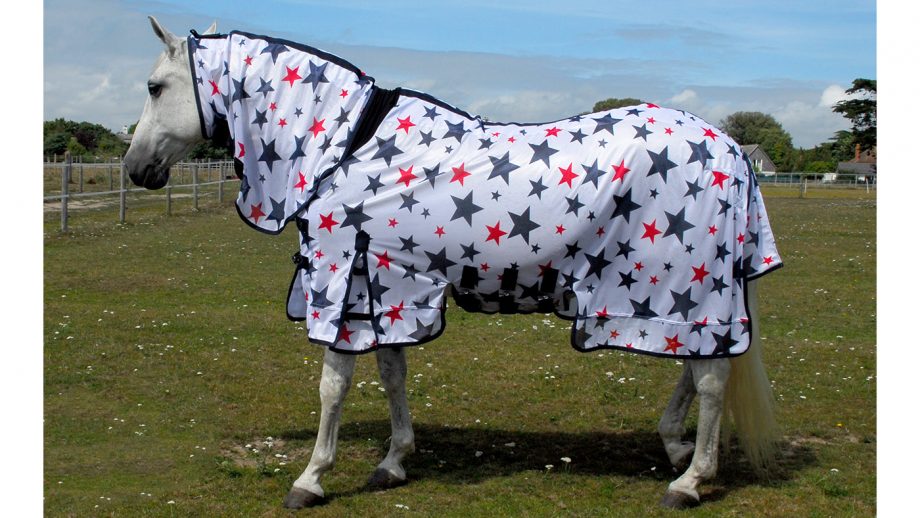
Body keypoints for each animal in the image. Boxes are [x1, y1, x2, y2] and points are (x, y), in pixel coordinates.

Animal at [124, 17, 783, 509]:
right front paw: (393, 461)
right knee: (696, 370)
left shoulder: (341, 278)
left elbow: (333, 386)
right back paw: (675, 449)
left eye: (155, 87)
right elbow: (391, 373)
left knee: (710, 379)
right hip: (681, 296)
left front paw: (311, 478)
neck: (345, 146)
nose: (135, 169)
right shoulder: (383, 286)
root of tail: (726, 145)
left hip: (684, 289)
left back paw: (689, 481)